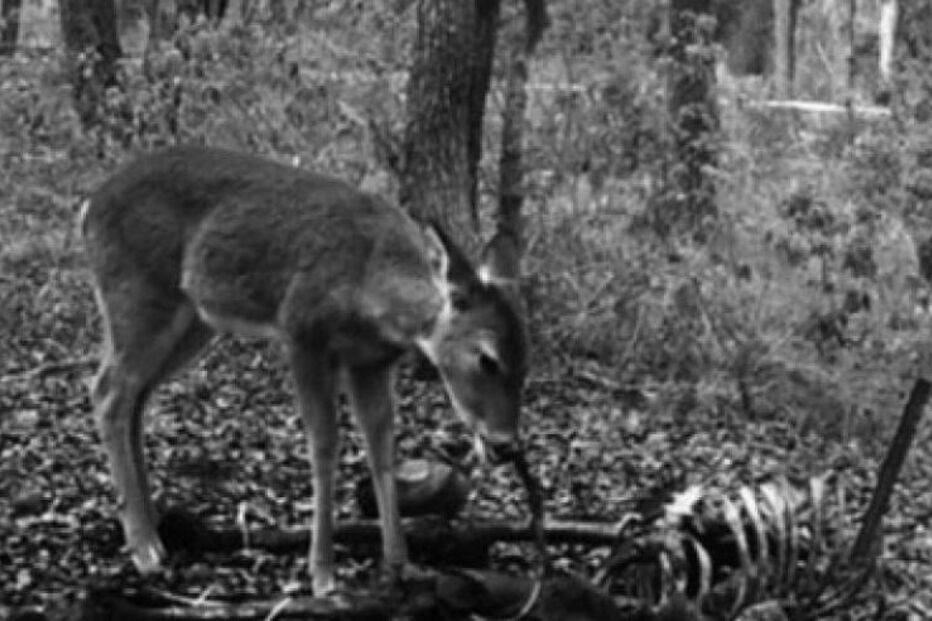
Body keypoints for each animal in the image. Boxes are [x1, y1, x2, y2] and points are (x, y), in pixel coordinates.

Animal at [80, 146, 528, 595]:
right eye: (487, 359)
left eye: (527, 362)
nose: (505, 444)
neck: (371, 284)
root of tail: (89, 205)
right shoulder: (302, 333)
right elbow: (324, 445)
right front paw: (323, 574)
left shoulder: (370, 362)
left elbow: (382, 448)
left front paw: (401, 564)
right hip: (138, 295)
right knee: (107, 393)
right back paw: (144, 550)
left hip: (193, 321)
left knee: (136, 397)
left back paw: (155, 531)